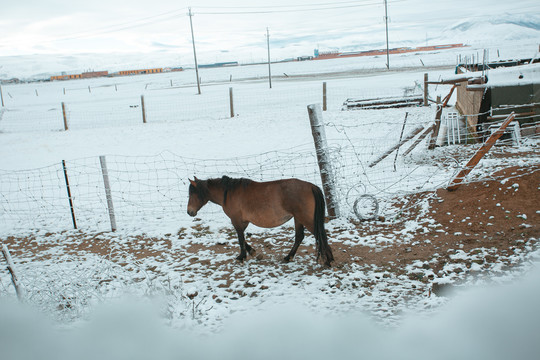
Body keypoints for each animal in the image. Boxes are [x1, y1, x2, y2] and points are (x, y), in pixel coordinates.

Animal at [188, 176, 336, 266]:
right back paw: (289, 257)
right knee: (300, 237)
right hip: (298, 218)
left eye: (192, 193)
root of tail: (311, 186)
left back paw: (328, 260)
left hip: (305, 218)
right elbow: (243, 238)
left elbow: (240, 238)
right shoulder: (242, 221)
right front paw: (251, 251)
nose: (189, 212)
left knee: (320, 235)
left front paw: (242, 256)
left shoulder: (236, 220)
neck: (228, 193)